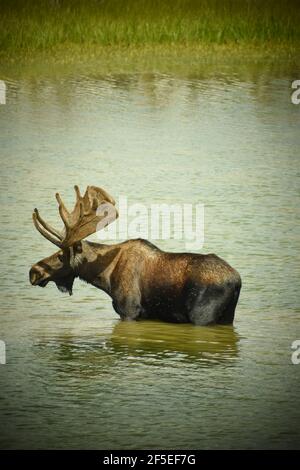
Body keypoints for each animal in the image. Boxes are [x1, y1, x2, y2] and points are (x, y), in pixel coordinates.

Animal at [29, 185, 241, 324]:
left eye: (60, 255)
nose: (33, 271)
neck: (104, 278)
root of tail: (237, 281)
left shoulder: (129, 310)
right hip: (227, 317)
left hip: (202, 316)